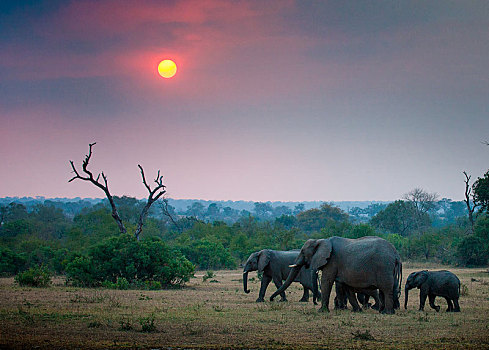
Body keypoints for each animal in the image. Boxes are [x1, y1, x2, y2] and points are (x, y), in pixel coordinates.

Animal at [270, 235, 400, 314]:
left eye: (302, 252)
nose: (271, 299)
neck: (321, 240)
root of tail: (395, 253)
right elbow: (347, 287)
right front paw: (356, 311)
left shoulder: (332, 260)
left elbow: (326, 281)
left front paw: (321, 311)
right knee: (386, 289)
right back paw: (384, 311)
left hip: (384, 266)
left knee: (386, 288)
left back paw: (387, 313)